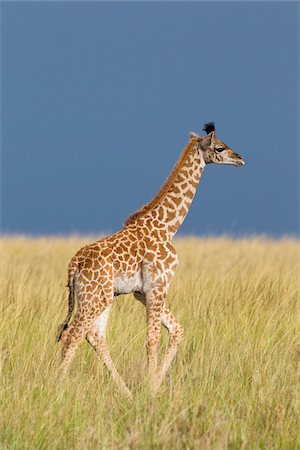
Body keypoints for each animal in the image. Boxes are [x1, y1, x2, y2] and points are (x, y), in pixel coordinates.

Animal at [57, 122, 245, 398]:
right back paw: (55, 386)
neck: (168, 227)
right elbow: (153, 337)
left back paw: (126, 392)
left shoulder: (142, 292)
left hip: (102, 297)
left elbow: (177, 330)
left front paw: (153, 385)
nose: (240, 158)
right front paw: (150, 389)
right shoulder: (158, 286)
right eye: (220, 147)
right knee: (73, 334)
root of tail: (74, 265)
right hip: (94, 297)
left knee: (94, 335)